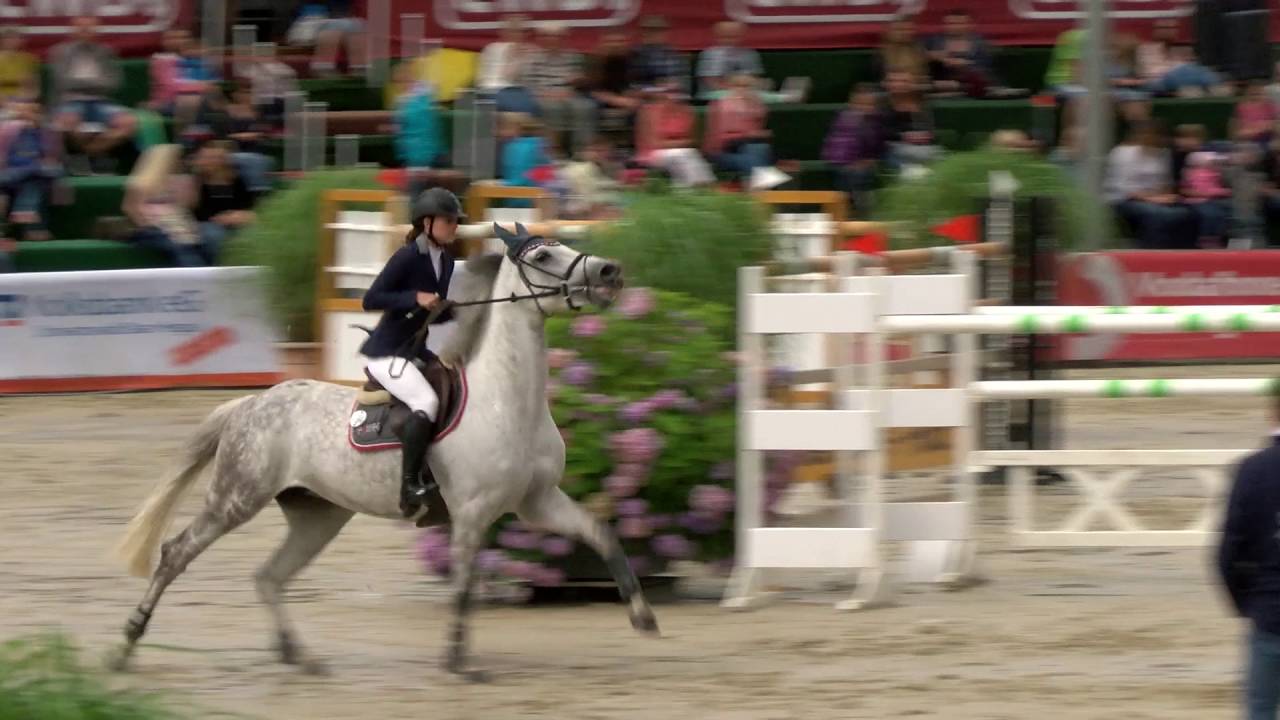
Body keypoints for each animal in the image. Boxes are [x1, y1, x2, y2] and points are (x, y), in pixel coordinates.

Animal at [111, 223, 660, 679]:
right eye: (544, 255)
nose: (610, 272)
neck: (507, 400)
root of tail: (251, 403)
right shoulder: (473, 512)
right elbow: (464, 588)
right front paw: (457, 661)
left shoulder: (537, 502)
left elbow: (603, 536)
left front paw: (643, 618)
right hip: (237, 498)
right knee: (177, 553)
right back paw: (128, 642)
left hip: (318, 516)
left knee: (268, 577)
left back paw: (299, 655)